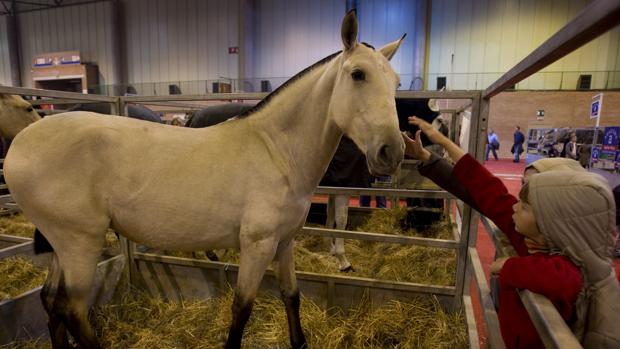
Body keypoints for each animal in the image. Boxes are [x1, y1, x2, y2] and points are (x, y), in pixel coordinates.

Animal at [3, 11, 406, 348]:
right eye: (357, 74)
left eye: (397, 82)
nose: (391, 151)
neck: (275, 150)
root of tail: (22, 143)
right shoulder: (257, 246)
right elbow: (241, 309)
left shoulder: (284, 242)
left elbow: (292, 297)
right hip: (79, 244)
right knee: (71, 310)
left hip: (62, 245)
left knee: (51, 302)